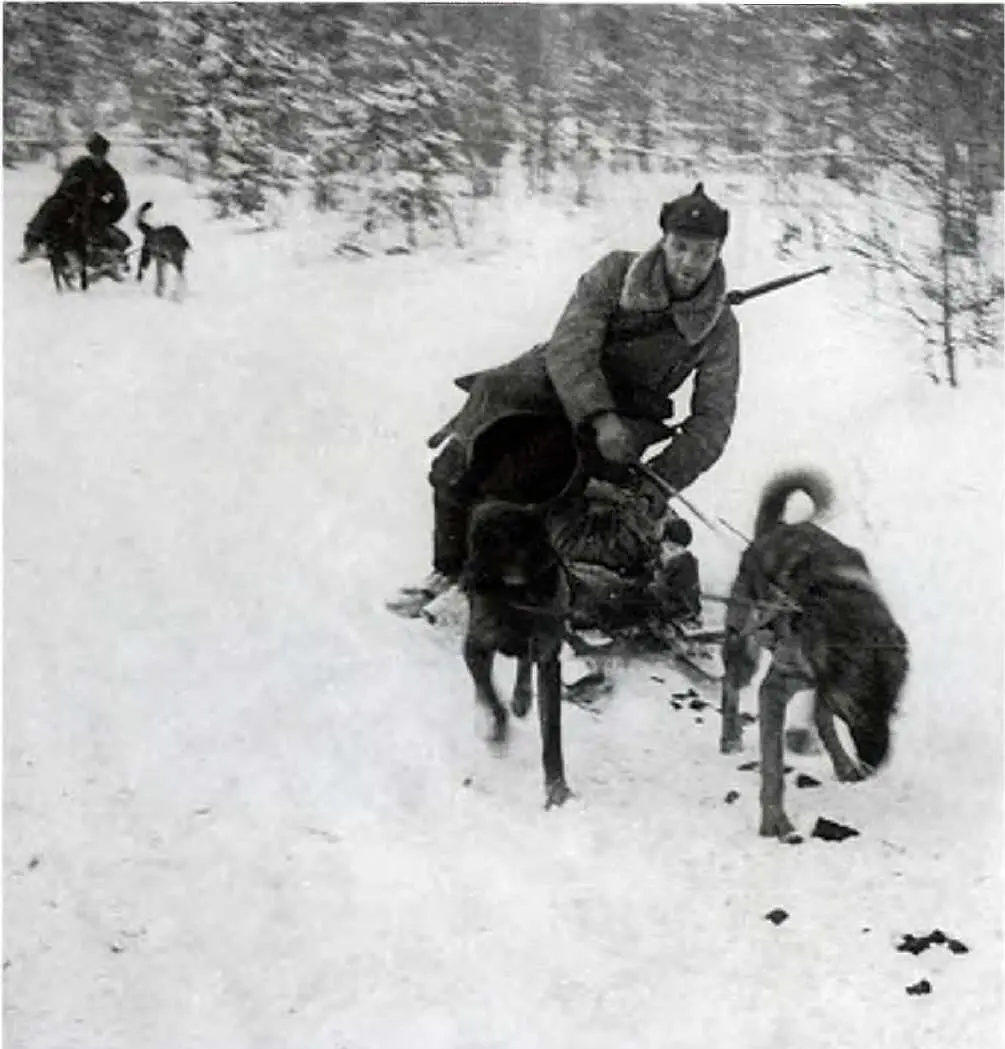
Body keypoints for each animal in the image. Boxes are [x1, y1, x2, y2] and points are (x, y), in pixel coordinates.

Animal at [463, 497, 574, 801]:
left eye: (496, 544)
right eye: (473, 541)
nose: (464, 580)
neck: (519, 594)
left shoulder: (549, 661)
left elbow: (552, 733)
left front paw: (557, 788)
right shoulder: (476, 646)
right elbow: (492, 698)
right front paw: (498, 734)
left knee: (524, 661)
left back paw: (522, 695)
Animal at [721, 472, 910, 839]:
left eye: (891, 708)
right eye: (857, 710)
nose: (874, 763)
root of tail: (772, 530)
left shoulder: (822, 685)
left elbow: (822, 718)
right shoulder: (775, 691)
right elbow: (773, 766)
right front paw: (774, 819)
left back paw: (840, 760)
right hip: (744, 652)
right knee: (730, 683)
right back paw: (730, 735)